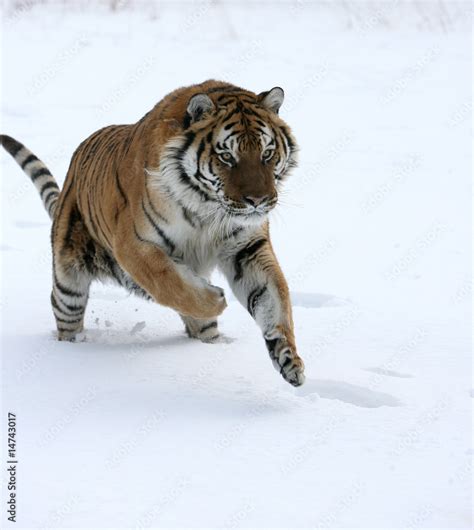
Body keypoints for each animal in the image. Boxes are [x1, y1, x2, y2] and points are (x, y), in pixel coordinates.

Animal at [0, 78, 304, 384]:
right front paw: (216, 299)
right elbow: (169, 282)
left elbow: (274, 296)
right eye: (227, 156)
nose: (258, 201)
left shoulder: (247, 247)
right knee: (66, 314)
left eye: (267, 153)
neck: (208, 207)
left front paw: (288, 358)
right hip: (68, 282)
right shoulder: (132, 244)